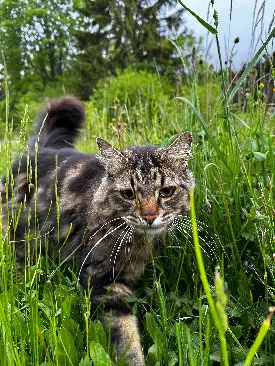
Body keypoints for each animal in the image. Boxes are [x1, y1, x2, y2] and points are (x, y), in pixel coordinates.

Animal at [0, 96, 194, 364]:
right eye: (129, 194)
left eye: (165, 192)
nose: (149, 216)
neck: (136, 242)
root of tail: (40, 149)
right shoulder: (103, 281)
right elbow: (126, 338)